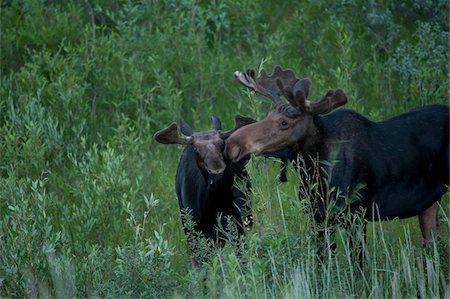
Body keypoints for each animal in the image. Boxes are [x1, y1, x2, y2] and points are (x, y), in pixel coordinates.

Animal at [223, 65, 448, 264]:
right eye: (268, 115)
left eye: (284, 123)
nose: (233, 145)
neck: (315, 171)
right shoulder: (318, 217)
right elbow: (322, 262)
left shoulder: (356, 215)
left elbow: (357, 266)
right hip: (429, 204)